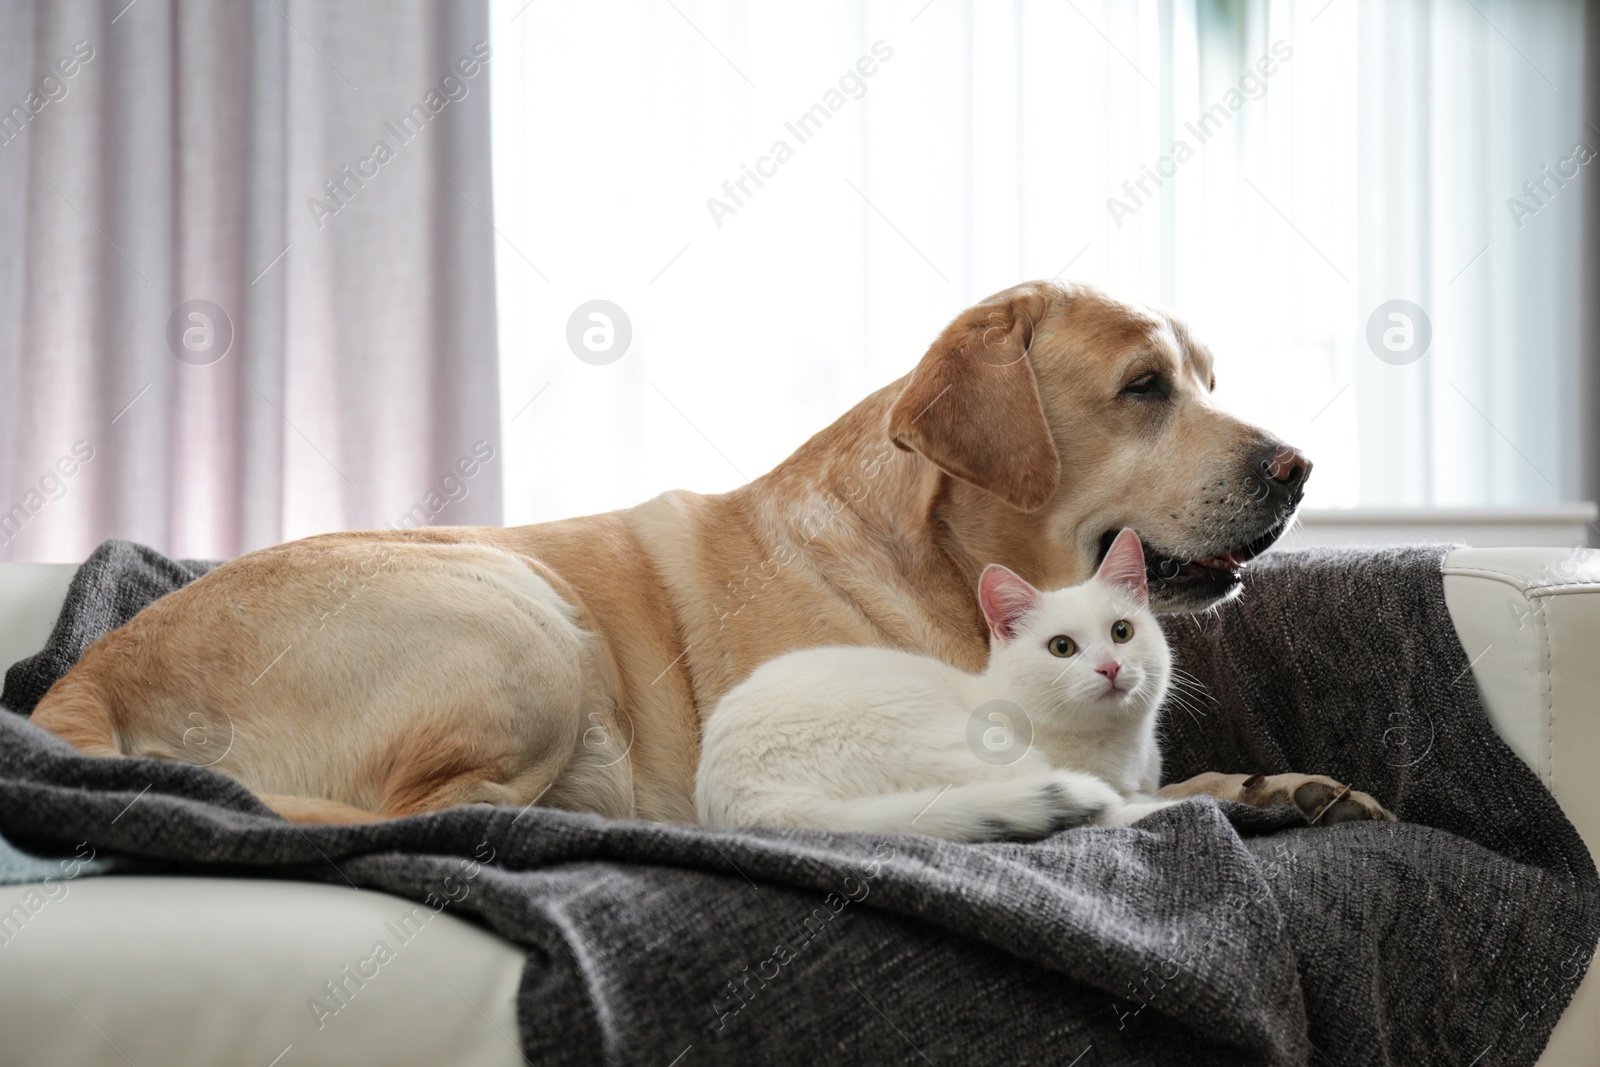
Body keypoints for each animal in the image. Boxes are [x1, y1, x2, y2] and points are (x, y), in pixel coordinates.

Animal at [694, 531, 1184, 838]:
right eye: (1062, 647)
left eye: (1122, 632)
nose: (1110, 667)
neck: (1118, 747)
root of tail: (749, 805)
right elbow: (1126, 805)